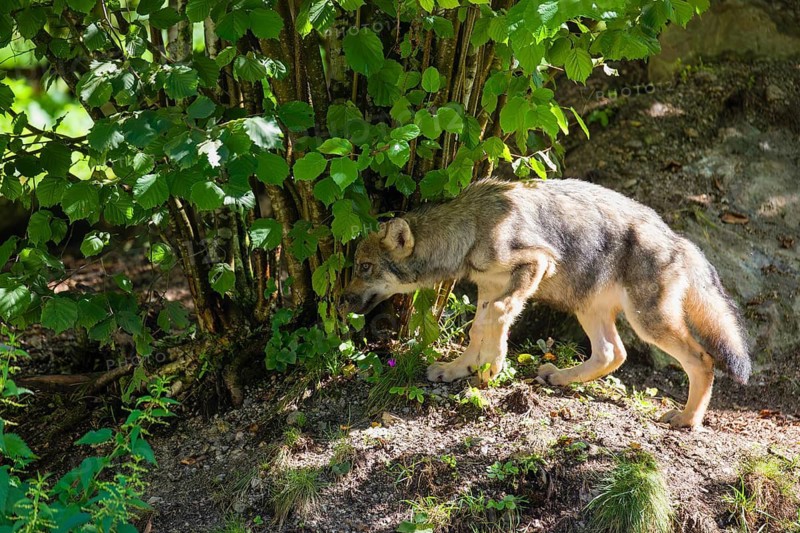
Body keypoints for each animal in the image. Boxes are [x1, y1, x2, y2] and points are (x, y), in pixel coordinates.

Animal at [339, 178, 751, 429]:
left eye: (364, 267)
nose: (341, 301)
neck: (471, 229)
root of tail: (680, 240)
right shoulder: (489, 287)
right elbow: (476, 330)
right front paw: (461, 369)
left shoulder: (534, 264)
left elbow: (495, 320)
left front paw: (491, 367)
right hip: (589, 309)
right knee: (612, 353)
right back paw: (558, 377)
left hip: (647, 323)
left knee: (703, 360)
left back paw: (686, 420)